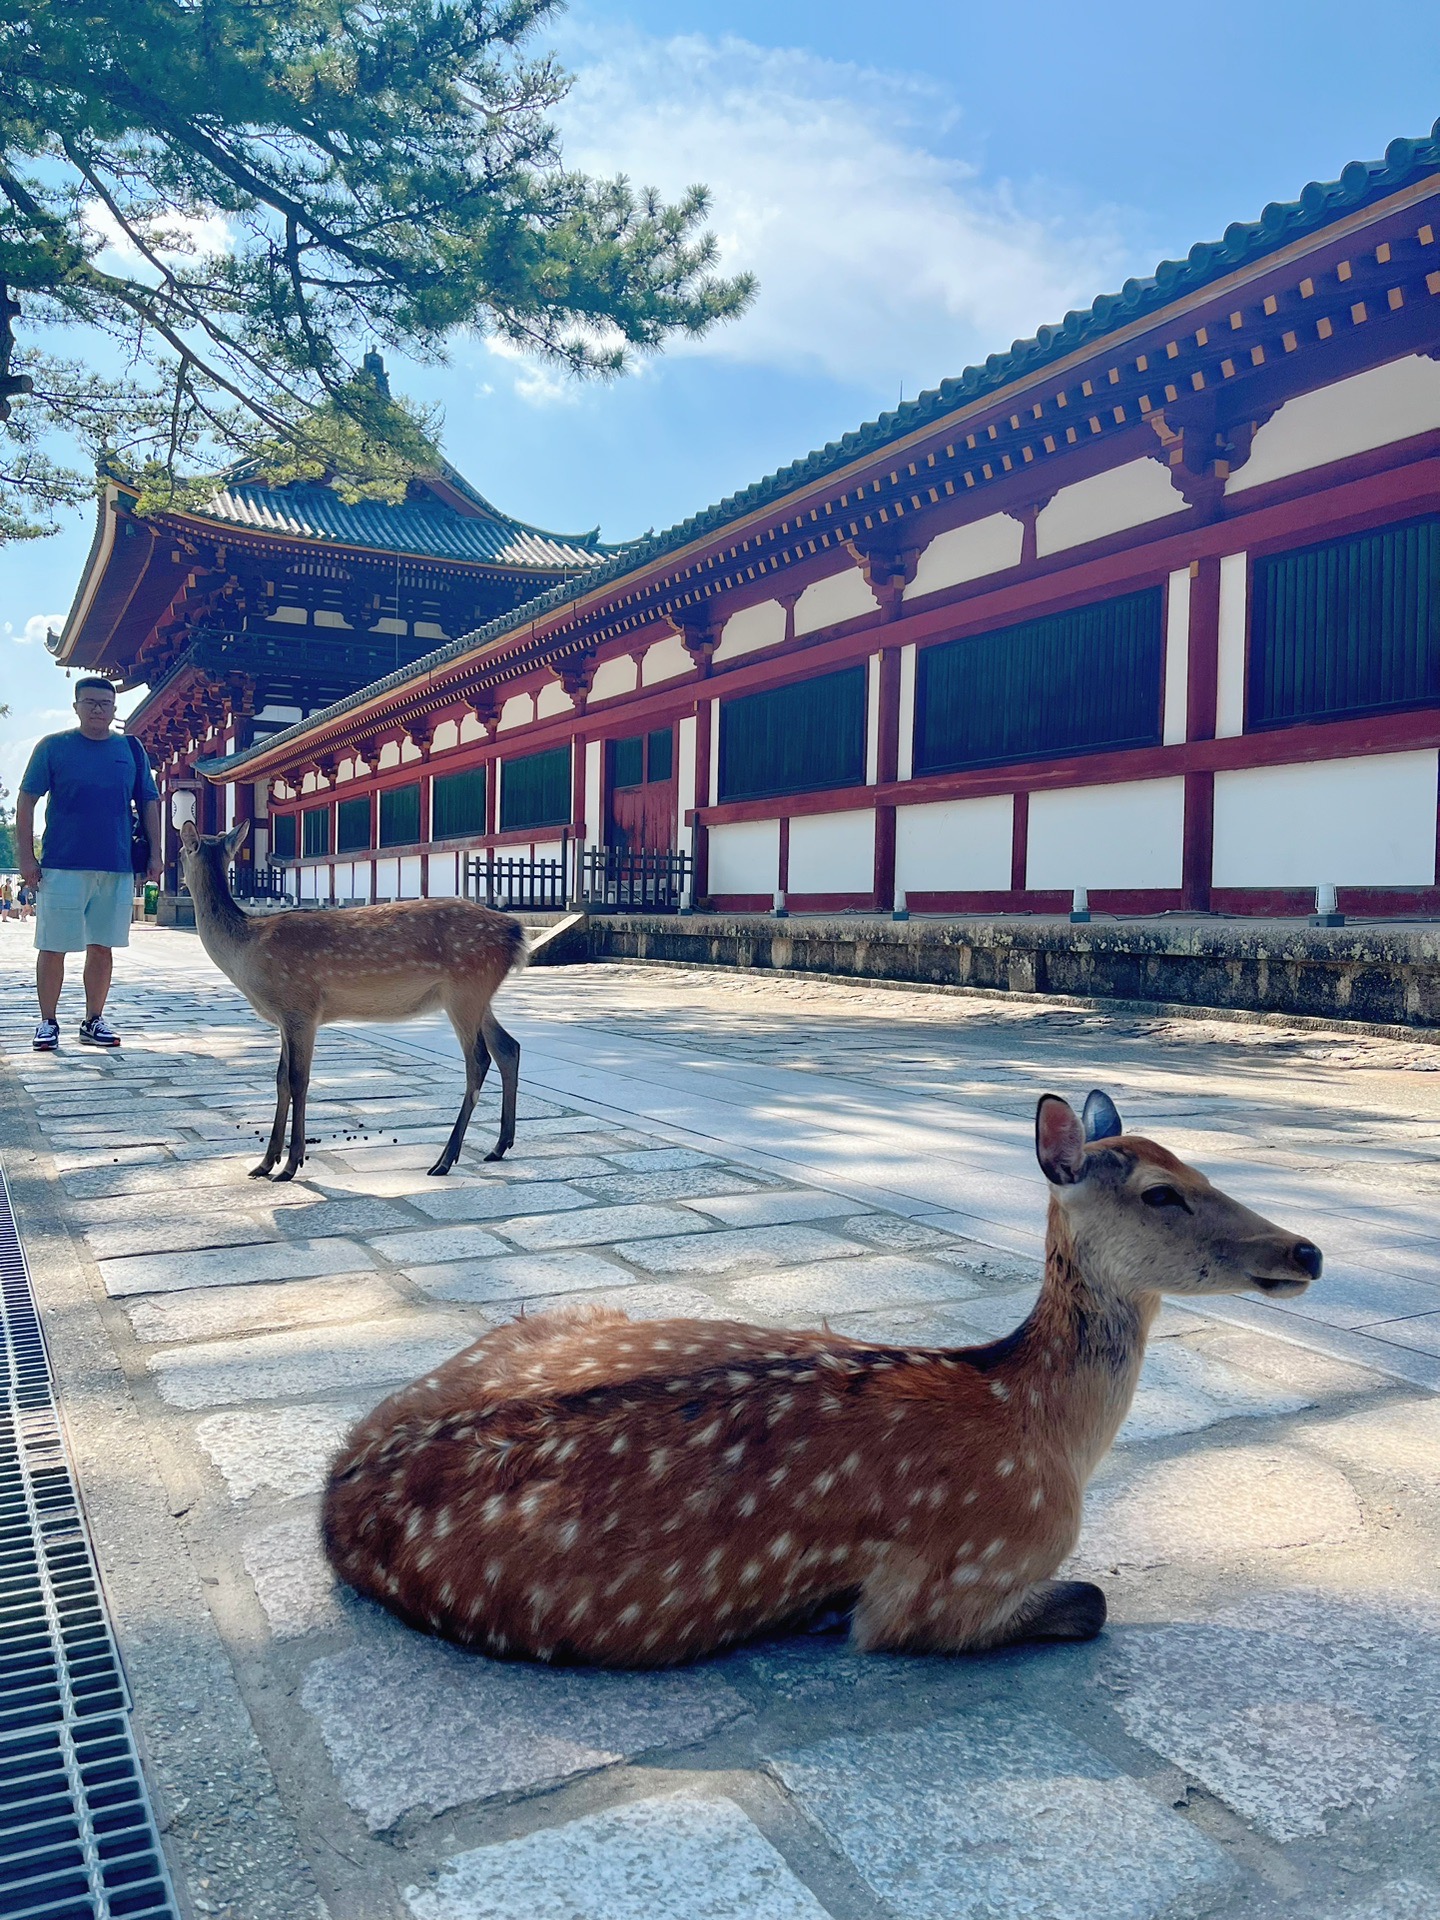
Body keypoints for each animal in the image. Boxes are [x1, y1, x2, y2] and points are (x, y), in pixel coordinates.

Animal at [175, 817, 526, 1175]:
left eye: (178, 853)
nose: (177, 880)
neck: (246, 951)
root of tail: (516, 932)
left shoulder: (300, 1006)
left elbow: (299, 1079)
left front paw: (291, 1164)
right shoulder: (284, 1018)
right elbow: (280, 1079)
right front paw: (265, 1162)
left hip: (465, 989)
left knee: (479, 1059)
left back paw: (445, 1159)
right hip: (476, 995)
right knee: (508, 1047)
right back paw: (499, 1146)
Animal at [324, 1098, 1320, 1666]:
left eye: (1200, 1165)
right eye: (1162, 1192)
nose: (1306, 1249)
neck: (1043, 1430)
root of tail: (335, 1488)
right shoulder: (948, 1587)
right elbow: (1093, 1602)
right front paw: (818, 1615)